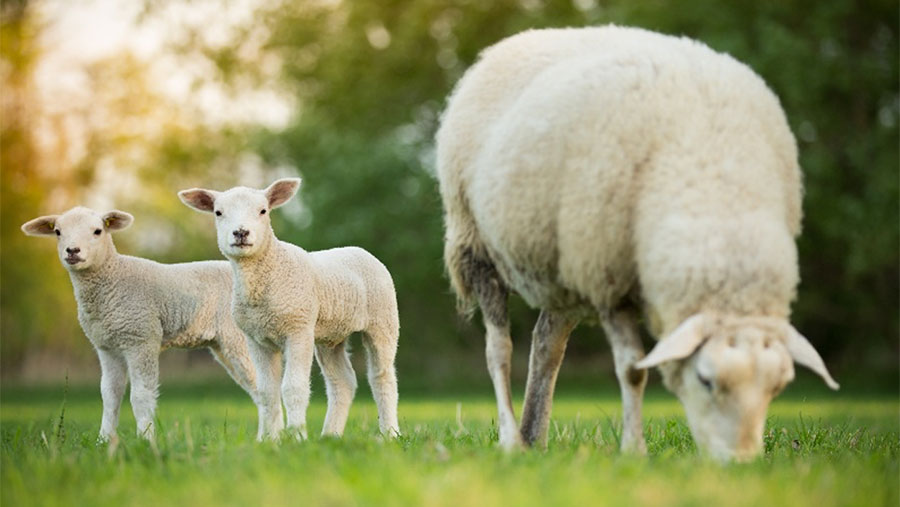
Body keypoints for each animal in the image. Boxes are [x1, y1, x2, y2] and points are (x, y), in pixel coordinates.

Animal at [21, 206, 260, 442]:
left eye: (98, 231)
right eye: (58, 232)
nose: (72, 251)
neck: (113, 277)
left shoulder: (142, 338)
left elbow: (141, 395)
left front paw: (145, 438)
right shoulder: (107, 346)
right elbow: (110, 394)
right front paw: (104, 440)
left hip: (238, 338)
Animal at [178, 178, 400, 440]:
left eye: (263, 211)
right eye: (218, 213)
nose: (241, 233)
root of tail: (359, 250)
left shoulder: (298, 330)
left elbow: (293, 388)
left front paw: (297, 437)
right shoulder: (256, 339)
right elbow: (266, 391)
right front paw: (269, 440)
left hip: (383, 320)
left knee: (382, 377)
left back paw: (390, 434)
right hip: (330, 335)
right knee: (342, 382)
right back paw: (330, 435)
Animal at [435, 25, 838, 461]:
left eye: (777, 387)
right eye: (706, 380)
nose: (741, 462)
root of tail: (511, 43)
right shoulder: (609, 279)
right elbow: (631, 369)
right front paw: (634, 449)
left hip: (564, 264)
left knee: (546, 346)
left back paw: (535, 437)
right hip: (476, 244)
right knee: (499, 350)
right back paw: (512, 439)